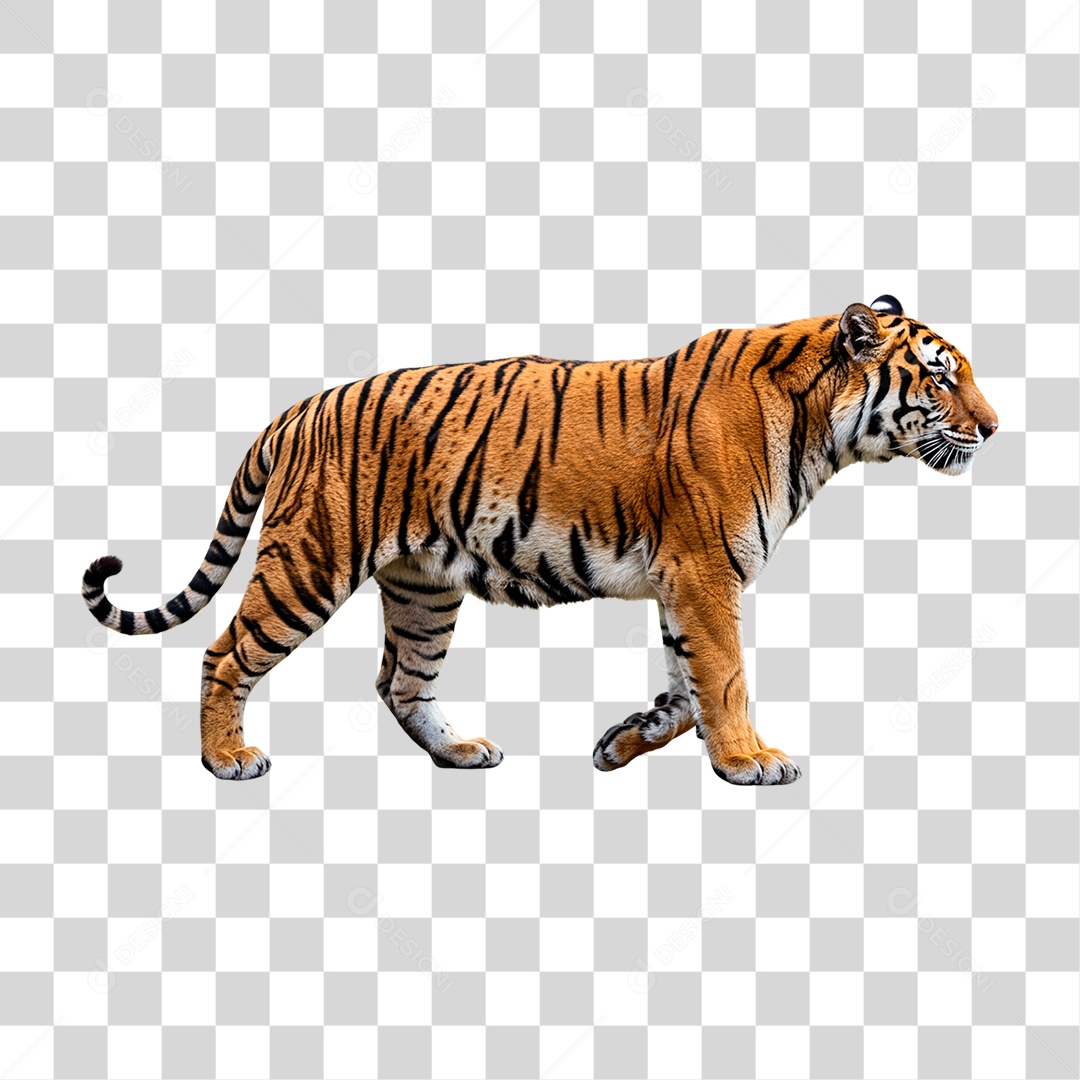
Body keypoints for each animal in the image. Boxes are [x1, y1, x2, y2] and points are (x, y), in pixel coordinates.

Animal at [83, 295, 998, 785]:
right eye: (942, 377)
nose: (993, 427)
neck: (820, 433)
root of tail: (299, 409)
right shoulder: (706, 573)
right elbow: (726, 677)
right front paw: (749, 760)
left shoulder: (683, 582)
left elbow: (687, 684)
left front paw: (624, 743)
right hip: (311, 559)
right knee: (225, 651)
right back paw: (226, 759)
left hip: (423, 588)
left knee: (399, 681)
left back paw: (459, 752)